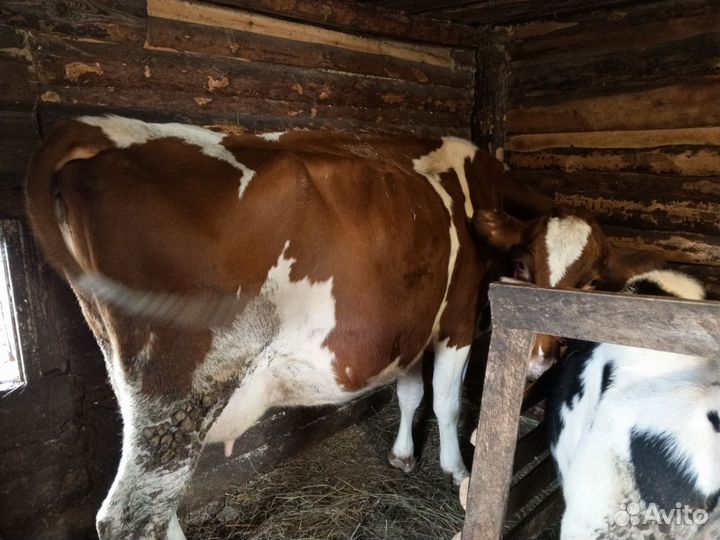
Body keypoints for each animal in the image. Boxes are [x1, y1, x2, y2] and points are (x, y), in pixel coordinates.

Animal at [25, 115, 551, 540]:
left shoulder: (413, 326)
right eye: (525, 266)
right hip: (177, 393)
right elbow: (446, 401)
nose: (543, 361)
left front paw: (402, 456)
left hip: (143, 398)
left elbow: (410, 393)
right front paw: (457, 469)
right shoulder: (459, 315)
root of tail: (106, 129)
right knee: (131, 517)